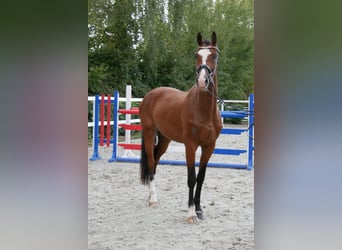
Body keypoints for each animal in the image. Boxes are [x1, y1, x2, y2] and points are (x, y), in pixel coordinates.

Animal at [138, 32, 222, 224]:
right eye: (196, 55)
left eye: (214, 55)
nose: (202, 81)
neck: (204, 111)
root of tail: (151, 95)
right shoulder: (190, 145)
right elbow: (191, 178)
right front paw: (191, 214)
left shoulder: (209, 146)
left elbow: (201, 177)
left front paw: (199, 210)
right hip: (149, 133)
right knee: (151, 161)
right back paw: (153, 200)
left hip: (165, 139)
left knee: (155, 162)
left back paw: (149, 197)